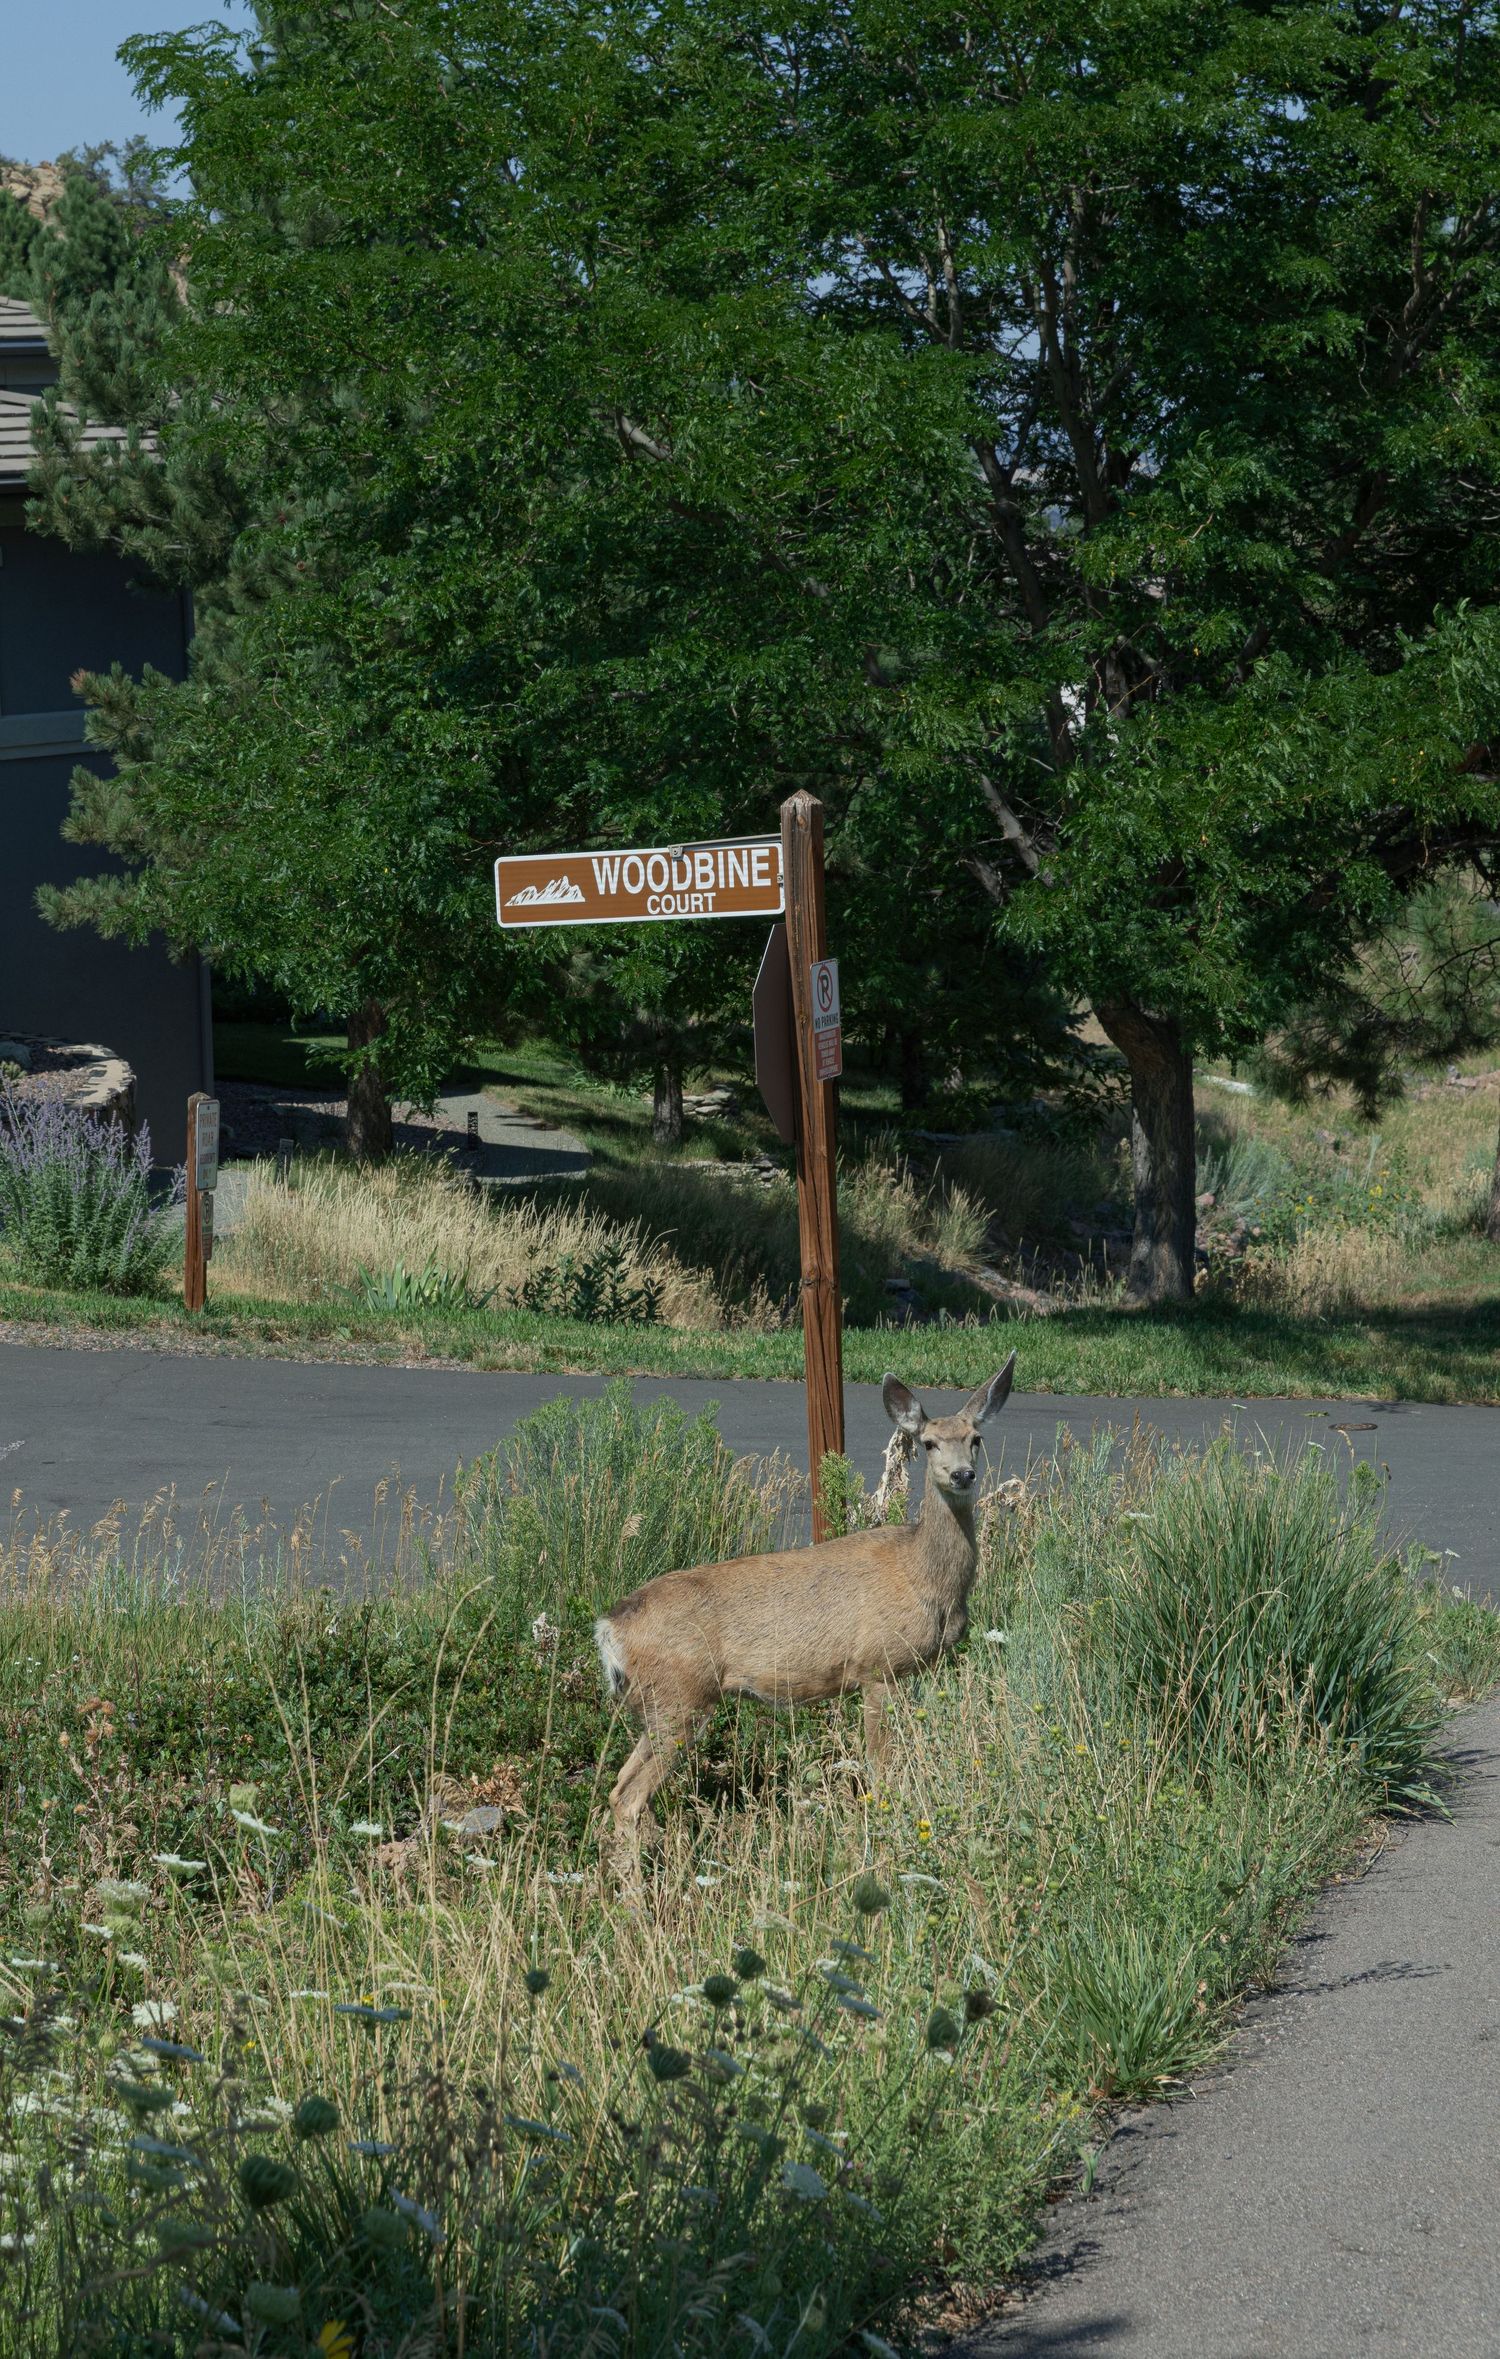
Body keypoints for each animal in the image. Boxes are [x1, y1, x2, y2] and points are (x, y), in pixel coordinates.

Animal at [594, 1353, 1016, 1848]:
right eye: (929, 1443)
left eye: (976, 1439)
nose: (963, 1474)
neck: (922, 1576)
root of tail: (610, 1628)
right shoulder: (878, 1667)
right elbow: (882, 1768)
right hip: (679, 1696)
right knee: (629, 1796)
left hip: (660, 1705)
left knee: (617, 1784)